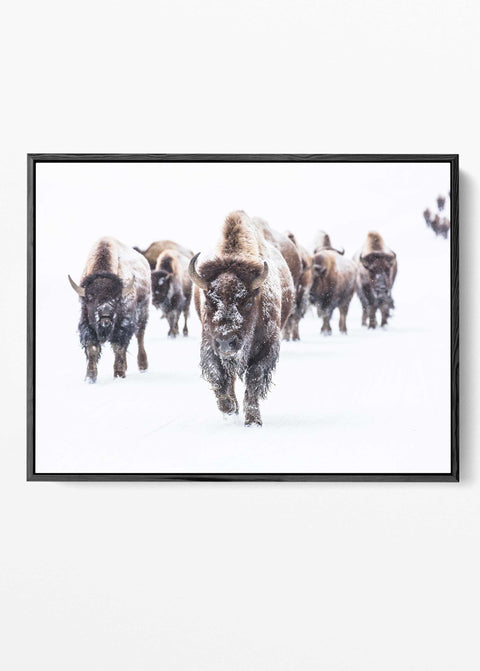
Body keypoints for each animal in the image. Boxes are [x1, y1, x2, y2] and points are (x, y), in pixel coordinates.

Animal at [68, 237, 150, 382]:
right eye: (90, 297)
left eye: (117, 298)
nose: (105, 319)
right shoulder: (87, 324)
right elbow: (92, 348)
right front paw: (90, 378)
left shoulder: (123, 325)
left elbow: (118, 347)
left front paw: (118, 374)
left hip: (143, 311)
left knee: (140, 336)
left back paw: (142, 366)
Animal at [189, 210, 295, 426]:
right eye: (208, 303)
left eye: (247, 302)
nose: (226, 342)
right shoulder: (210, 346)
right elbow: (218, 377)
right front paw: (229, 409)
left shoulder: (267, 347)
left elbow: (254, 379)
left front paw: (253, 420)